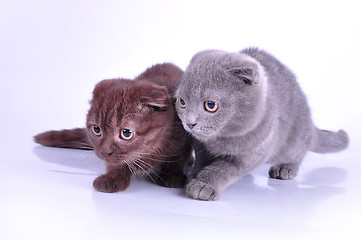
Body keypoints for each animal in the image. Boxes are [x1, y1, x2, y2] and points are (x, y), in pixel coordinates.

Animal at [35, 62, 193, 192]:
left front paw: (173, 175)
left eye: (126, 133)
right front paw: (112, 177)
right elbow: (118, 164)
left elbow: (178, 159)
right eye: (96, 129)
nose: (105, 152)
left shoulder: (183, 139)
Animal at [175, 47, 348, 201]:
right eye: (182, 102)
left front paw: (203, 185)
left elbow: (223, 169)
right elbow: (201, 161)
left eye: (210, 105)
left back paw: (285, 168)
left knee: (299, 152)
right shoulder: (200, 145)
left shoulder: (253, 153)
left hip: (294, 140)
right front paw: (192, 177)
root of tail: (310, 123)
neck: (220, 139)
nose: (190, 123)